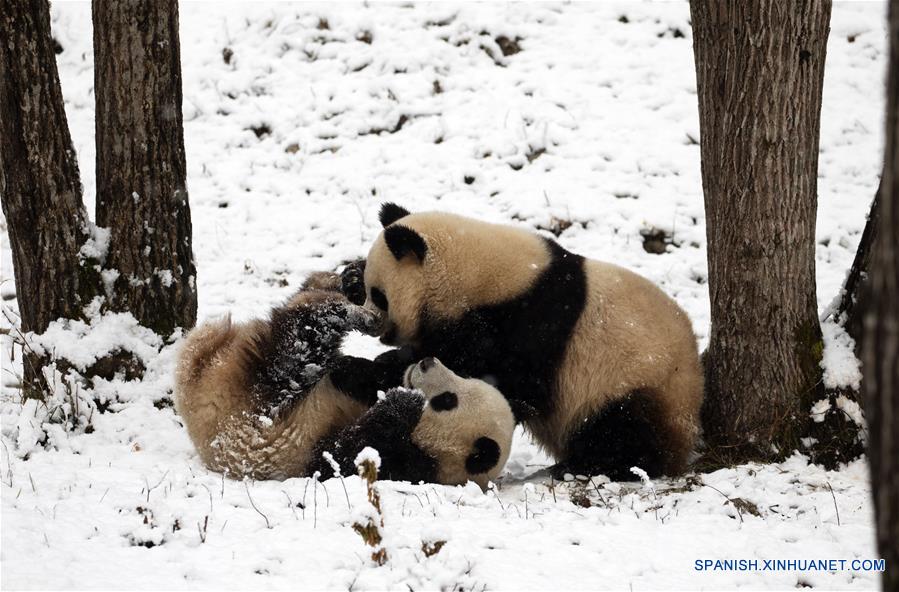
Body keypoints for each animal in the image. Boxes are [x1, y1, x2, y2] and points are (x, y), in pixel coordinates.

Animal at [174, 272, 512, 486]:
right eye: (462, 378)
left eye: (447, 400)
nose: (427, 363)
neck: (429, 451)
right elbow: (360, 376)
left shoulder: (395, 463)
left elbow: (346, 455)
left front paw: (405, 401)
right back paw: (346, 283)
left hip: (251, 409)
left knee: (297, 345)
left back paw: (346, 311)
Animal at [356, 204, 704, 480]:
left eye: (379, 295)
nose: (371, 324)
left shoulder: (533, 324)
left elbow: (502, 375)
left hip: (637, 382)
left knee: (623, 428)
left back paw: (587, 466)